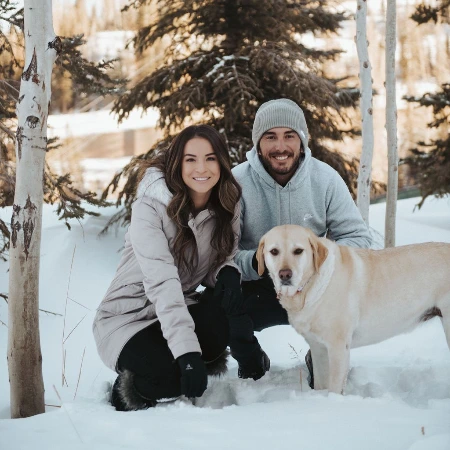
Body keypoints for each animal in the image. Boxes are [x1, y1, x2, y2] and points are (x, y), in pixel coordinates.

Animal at [256, 225, 450, 394]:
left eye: (298, 251)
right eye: (274, 251)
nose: (285, 274)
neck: (309, 287)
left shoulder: (338, 347)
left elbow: (334, 387)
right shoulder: (318, 348)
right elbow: (320, 384)